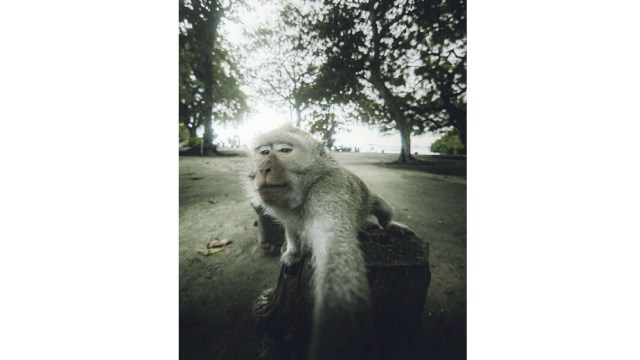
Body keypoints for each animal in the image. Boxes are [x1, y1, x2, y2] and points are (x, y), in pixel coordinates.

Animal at [246, 123, 410, 358]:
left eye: (285, 151)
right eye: (264, 153)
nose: (265, 168)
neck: (305, 191)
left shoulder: (328, 191)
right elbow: (291, 228)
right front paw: (293, 251)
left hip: (372, 196)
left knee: (384, 211)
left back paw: (387, 225)